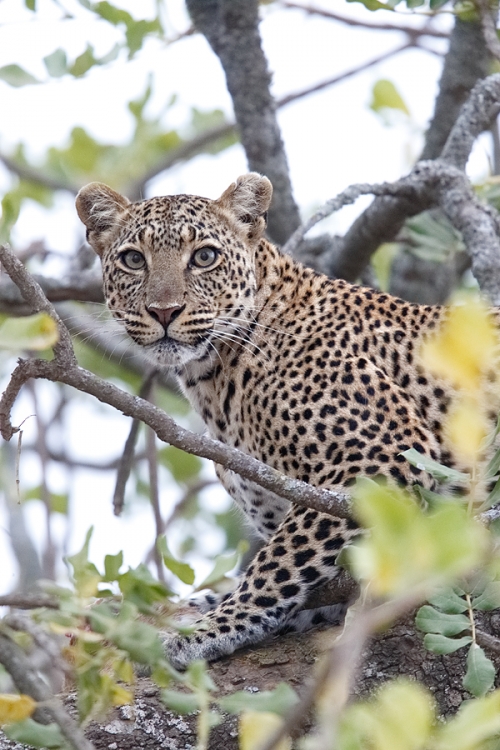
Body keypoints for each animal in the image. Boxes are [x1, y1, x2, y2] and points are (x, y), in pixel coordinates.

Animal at [76, 175, 482, 668]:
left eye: (204, 256)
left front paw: (210, 629)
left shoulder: (386, 455)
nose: (165, 311)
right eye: (134, 260)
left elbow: (278, 563)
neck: (214, 380)